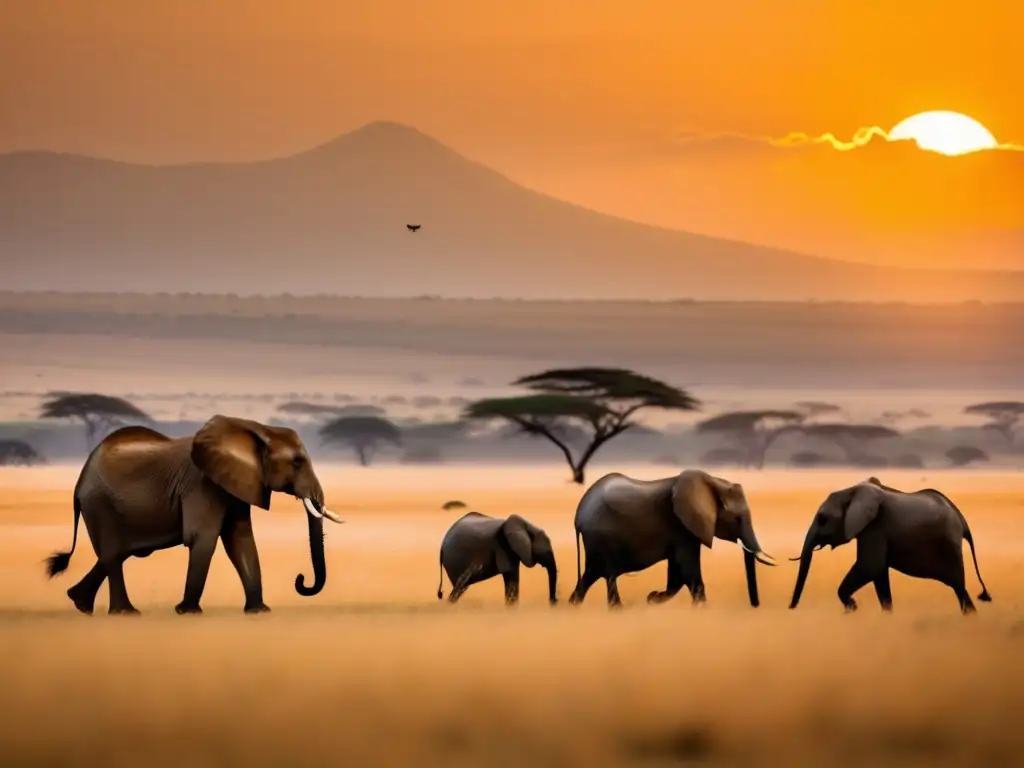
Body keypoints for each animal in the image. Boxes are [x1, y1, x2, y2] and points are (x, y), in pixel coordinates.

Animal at [44, 415, 346, 618]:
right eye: (297, 462)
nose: (300, 579)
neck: (256, 430)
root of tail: (80, 480)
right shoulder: (202, 485)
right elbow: (203, 538)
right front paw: (187, 612)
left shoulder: (236, 484)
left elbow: (240, 540)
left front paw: (260, 612)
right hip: (100, 503)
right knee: (114, 553)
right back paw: (125, 614)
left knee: (117, 553)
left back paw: (81, 604)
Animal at [569, 473, 774, 610]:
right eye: (737, 519)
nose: (755, 605)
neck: (712, 482)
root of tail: (578, 516)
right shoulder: (682, 528)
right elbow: (687, 571)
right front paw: (701, 610)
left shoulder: (686, 531)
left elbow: (677, 573)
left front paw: (653, 598)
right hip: (601, 537)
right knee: (608, 575)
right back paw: (617, 610)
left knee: (591, 574)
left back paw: (573, 606)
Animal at [782, 479, 991, 618]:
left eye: (823, 519)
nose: (791, 609)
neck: (850, 491)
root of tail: (962, 521)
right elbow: (879, 574)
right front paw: (886, 615)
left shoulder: (875, 526)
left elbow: (871, 566)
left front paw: (853, 608)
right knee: (959, 587)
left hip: (950, 546)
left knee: (959, 586)